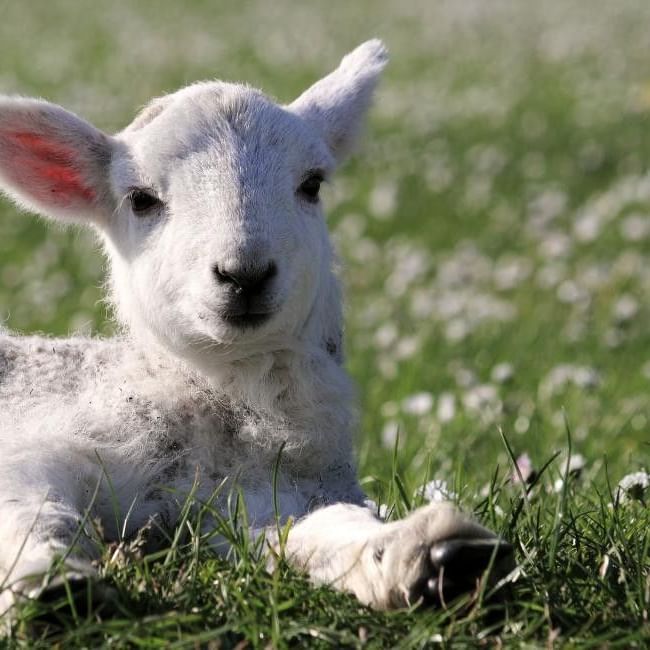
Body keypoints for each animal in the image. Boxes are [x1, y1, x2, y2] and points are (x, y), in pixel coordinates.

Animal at [0, 40, 512, 616]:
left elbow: (323, 529)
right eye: (140, 199)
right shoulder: (47, 446)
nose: (244, 273)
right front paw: (51, 584)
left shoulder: (276, 488)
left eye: (312, 184)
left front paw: (431, 554)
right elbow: (30, 509)